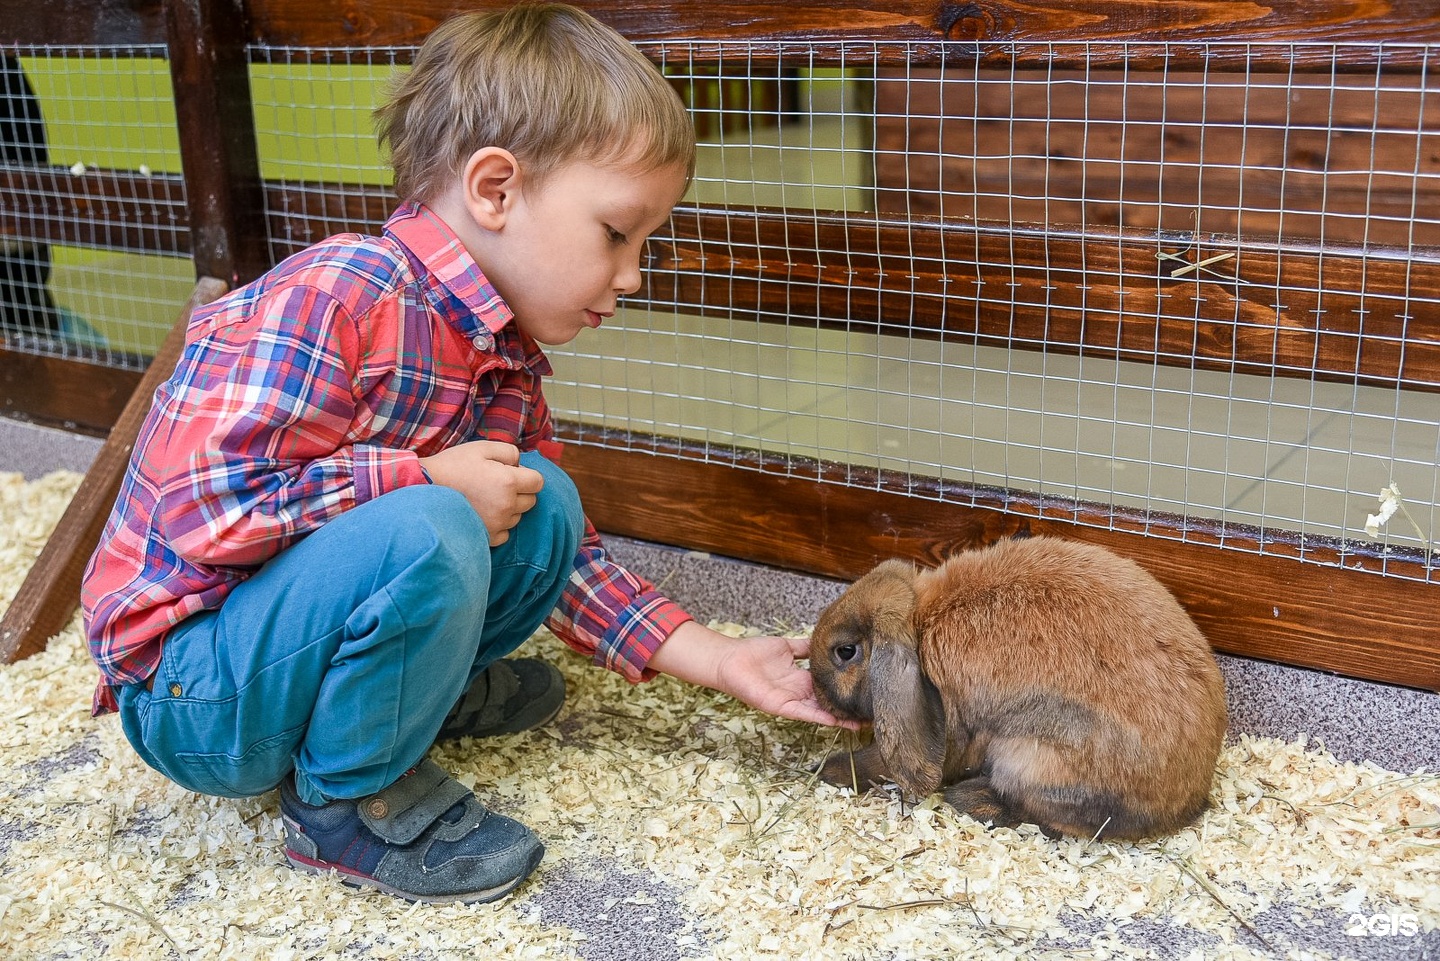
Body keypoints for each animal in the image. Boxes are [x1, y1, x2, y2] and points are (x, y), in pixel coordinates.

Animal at [812, 538, 1226, 835]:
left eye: (845, 651)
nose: (817, 692)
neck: (921, 622)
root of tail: (1185, 805)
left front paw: (829, 770)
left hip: (1030, 759)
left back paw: (970, 800)